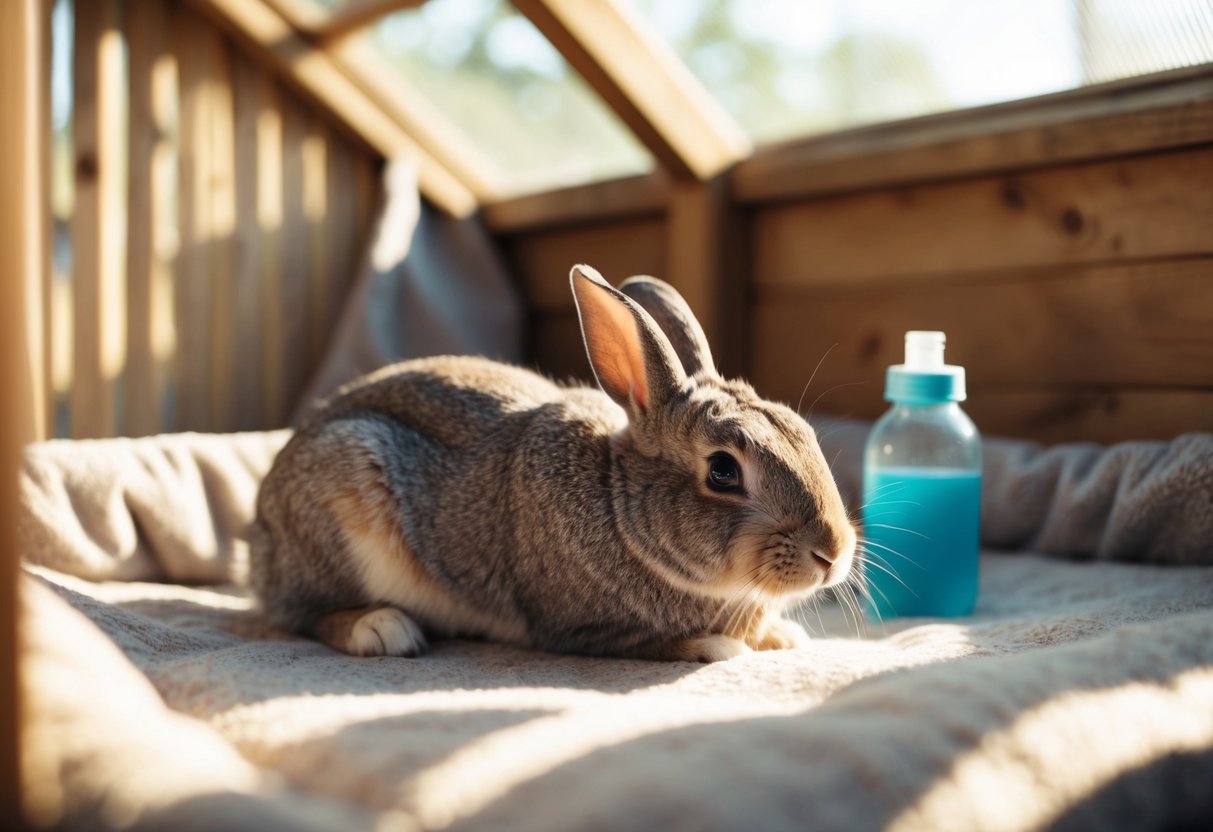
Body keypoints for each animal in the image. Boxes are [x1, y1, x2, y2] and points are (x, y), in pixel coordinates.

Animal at [249, 264, 857, 662]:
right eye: (723, 471)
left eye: (802, 431)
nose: (832, 555)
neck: (621, 509)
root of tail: (260, 544)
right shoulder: (582, 629)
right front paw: (719, 646)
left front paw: (782, 637)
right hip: (346, 500)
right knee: (305, 615)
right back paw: (381, 629)